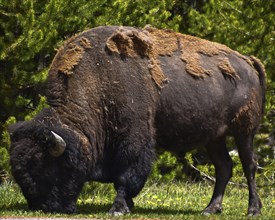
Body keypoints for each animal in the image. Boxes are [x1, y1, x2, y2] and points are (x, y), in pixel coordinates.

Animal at [9, 25, 266, 215]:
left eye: (45, 165)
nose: (42, 207)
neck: (98, 79)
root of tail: (248, 61)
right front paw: (128, 205)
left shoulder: (133, 140)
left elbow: (127, 174)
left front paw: (118, 208)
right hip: (215, 138)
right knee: (224, 167)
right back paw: (210, 209)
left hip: (244, 131)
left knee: (249, 165)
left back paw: (252, 209)